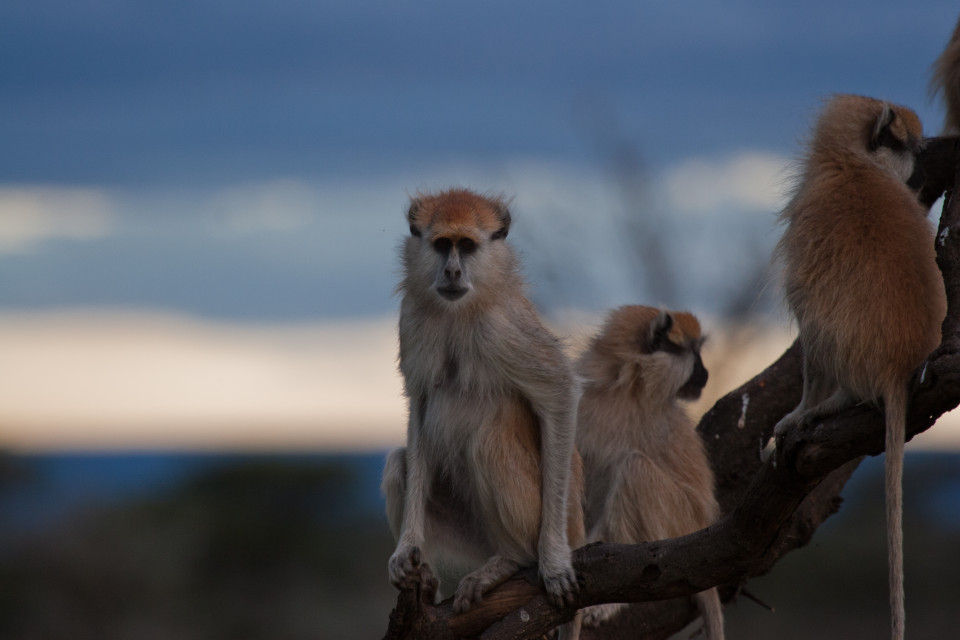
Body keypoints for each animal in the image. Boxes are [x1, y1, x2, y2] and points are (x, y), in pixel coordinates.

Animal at [382, 188, 585, 639]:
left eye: (468, 246)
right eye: (443, 245)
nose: (453, 271)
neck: (459, 310)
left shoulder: (502, 327)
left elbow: (559, 394)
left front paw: (554, 559)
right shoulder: (413, 320)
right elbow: (420, 407)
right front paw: (406, 550)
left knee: (488, 444)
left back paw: (512, 560)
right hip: (471, 538)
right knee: (398, 462)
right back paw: (431, 578)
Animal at [574, 305, 723, 640]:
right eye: (692, 354)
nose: (705, 373)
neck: (627, 384)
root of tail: (701, 525)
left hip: (679, 522)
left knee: (635, 469)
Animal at [773, 95, 946, 640]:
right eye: (908, 146)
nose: (922, 164)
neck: (850, 163)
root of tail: (899, 362)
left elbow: (809, 332)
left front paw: (799, 410)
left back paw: (832, 402)